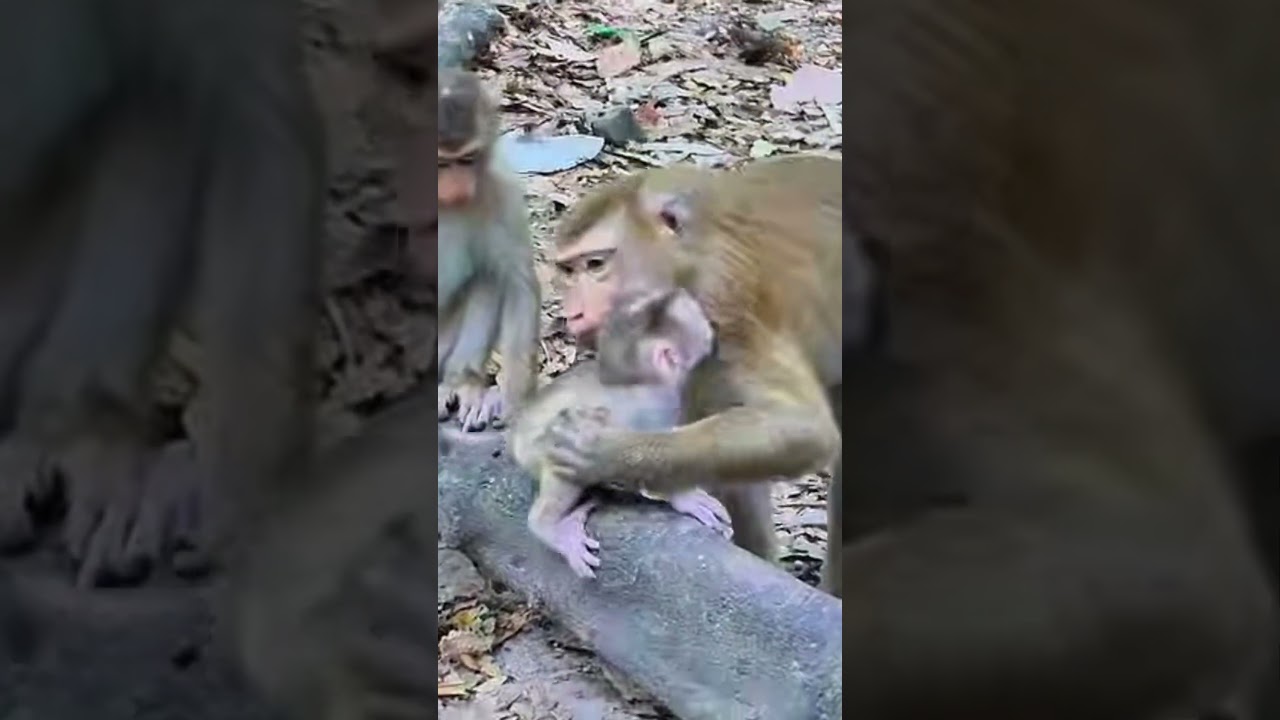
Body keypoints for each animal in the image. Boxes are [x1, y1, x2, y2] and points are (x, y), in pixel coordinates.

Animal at [436, 67, 540, 433]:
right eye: (440, 164)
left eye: (468, 159)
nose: (456, 189)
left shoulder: (500, 186)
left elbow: (517, 283)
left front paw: (513, 401)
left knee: (488, 277)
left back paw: (460, 382)